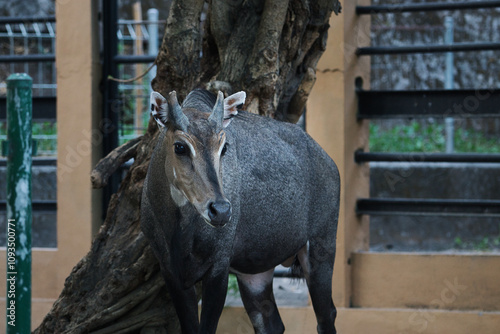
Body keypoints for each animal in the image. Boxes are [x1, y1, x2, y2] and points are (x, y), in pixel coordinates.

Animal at [141, 88, 340, 334]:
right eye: (180, 146)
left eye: (223, 147)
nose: (220, 210)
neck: (182, 227)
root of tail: (329, 161)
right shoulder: (171, 272)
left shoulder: (219, 267)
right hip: (254, 275)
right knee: (271, 324)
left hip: (321, 250)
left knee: (326, 315)